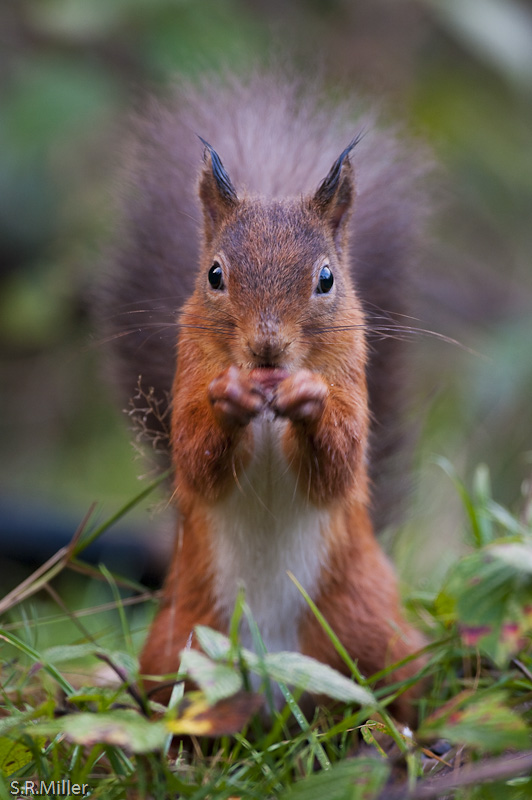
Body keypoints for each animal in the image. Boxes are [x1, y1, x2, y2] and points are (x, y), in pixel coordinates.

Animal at [99, 74, 429, 724]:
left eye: (326, 278)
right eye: (214, 274)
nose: (266, 348)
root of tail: (280, 694)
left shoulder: (351, 380)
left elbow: (341, 462)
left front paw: (310, 400)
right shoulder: (188, 377)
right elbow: (196, 456)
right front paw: (228, 400)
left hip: (370, 630)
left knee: (396, 690)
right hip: (181, 643)